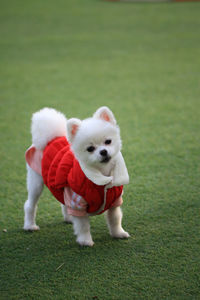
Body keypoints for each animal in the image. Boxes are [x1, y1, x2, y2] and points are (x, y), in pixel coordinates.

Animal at [23, 106, 130, 247]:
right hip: (36, 182)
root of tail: (51, 138)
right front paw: (85, 241)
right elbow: (83, 226)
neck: (101, 174)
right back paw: (29, 225)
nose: (103, 151)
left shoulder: (114, 200)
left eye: (108, 141)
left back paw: (68, 218)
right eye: (90, 148)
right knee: (30, 204)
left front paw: (118, 233)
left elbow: (115, 219)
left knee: (63, 203)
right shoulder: (77, 203)